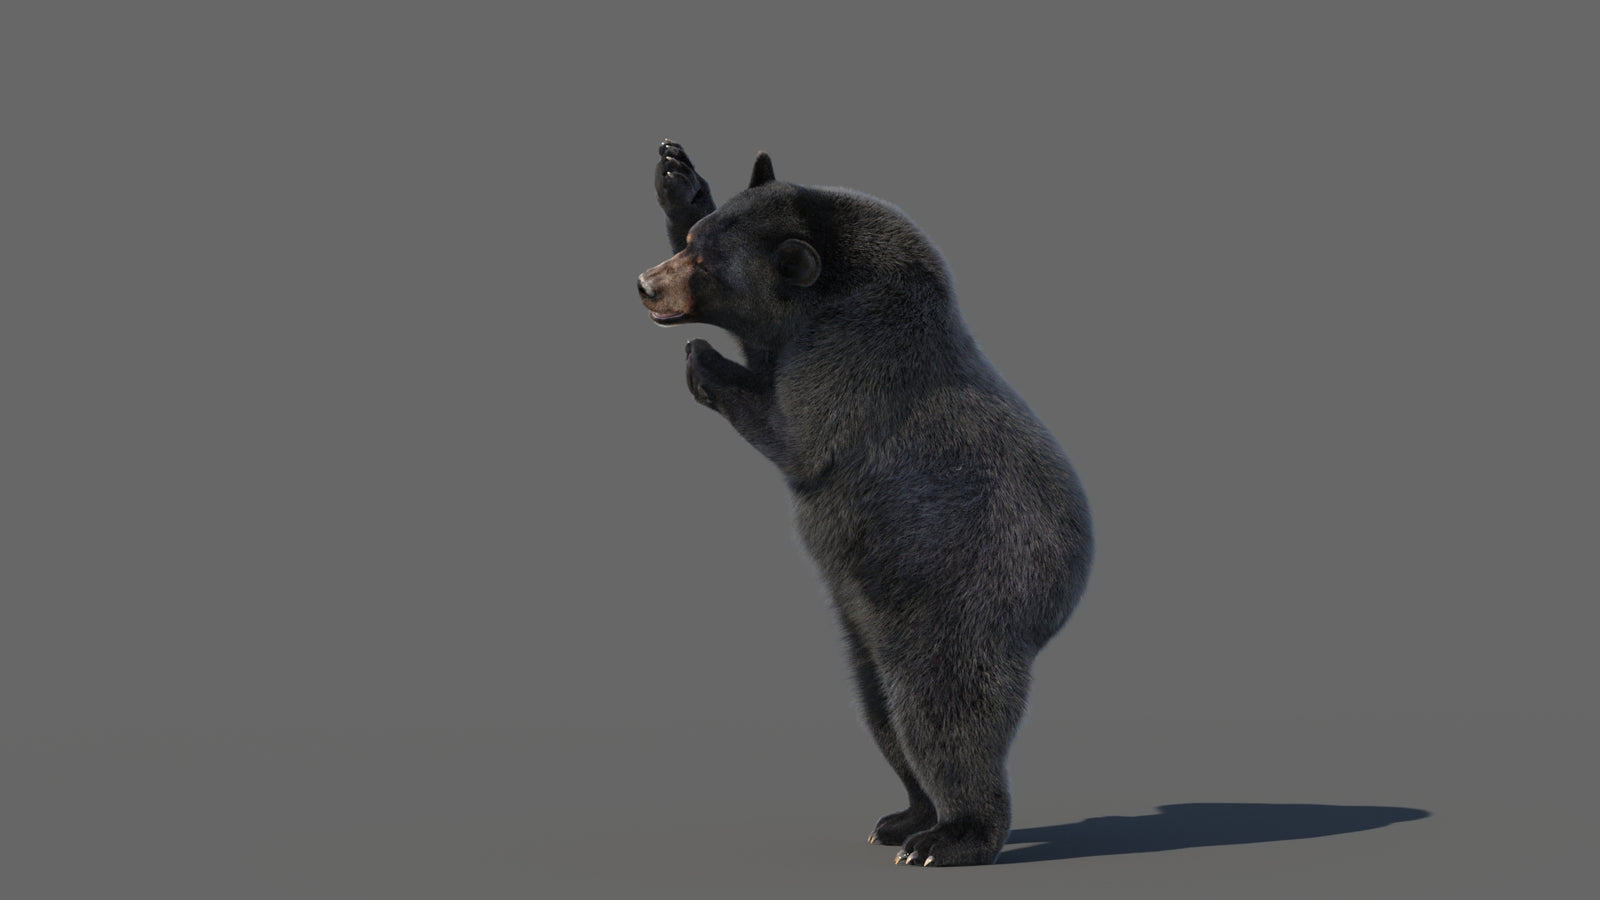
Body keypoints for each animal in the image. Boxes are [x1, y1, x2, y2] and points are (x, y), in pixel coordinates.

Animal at [636, 140, 1093, 867]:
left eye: (706, 265)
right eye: (690, 244)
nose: (646, 284)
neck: (835, 287)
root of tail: (1061, 598)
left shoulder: (853, 356)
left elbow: (796, 432)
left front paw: (705, 360)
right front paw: (678, 176)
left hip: (962, 603)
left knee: (943, 718)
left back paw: (952, 837)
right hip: (870, 626)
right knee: (881, 714)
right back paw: (904, 818)